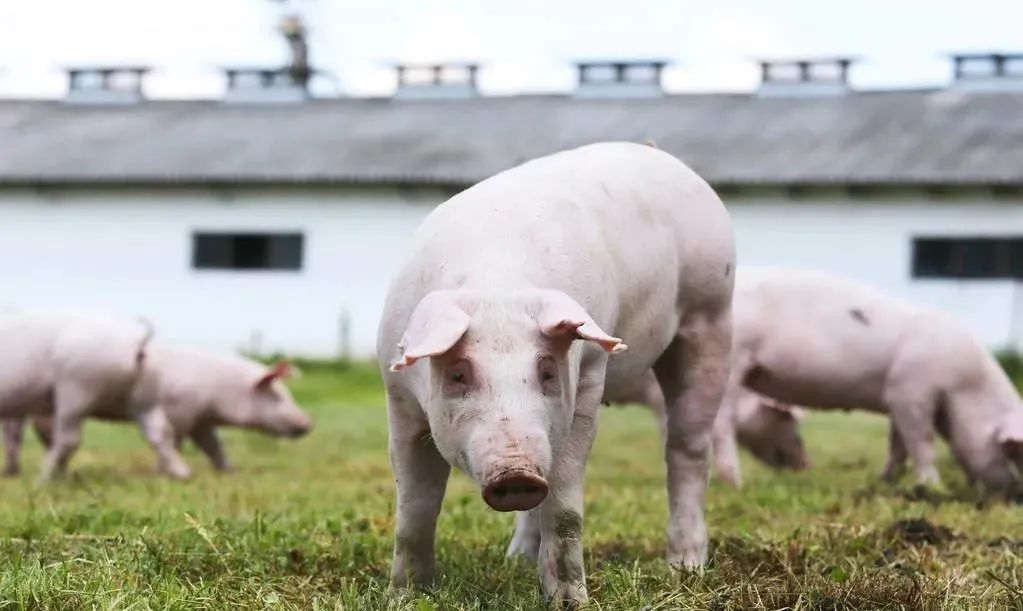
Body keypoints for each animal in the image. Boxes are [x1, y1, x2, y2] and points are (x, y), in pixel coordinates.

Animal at [0, 311, 190, 478]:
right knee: (161, 431)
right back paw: (182, 474)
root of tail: (138, 342)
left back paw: (42, 479)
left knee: (69, 438)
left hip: (76, 387)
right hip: (146, 396)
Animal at [1, 347, 310, 476]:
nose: (309, 422)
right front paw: (163, 471)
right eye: (279, 397)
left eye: (287, 395)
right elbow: (175, 440)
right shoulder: (180, 410)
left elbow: (214, 445)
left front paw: (230, 471)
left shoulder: (200, 420)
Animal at [378, 143, 736, 605]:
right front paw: (405, 596)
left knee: (687, 448)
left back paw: (685, 568)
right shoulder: (399, 396)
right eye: (458, 375)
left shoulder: (587, 379)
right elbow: (414, 507)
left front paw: (570, 603)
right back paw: (516, 560)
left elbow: (564, 508)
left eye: (547, 371)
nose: (518, 475)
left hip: (710, 314)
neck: (498, 284)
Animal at [720, 266, 1023, 491]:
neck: (965, 388)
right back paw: (735, 484)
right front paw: (933, 488)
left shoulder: (897, 399)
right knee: (722, 425)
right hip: (735, 357)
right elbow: (923, 442)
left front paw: (886, 483)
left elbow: (898, 446)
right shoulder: (911, 391)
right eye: (1010, 451)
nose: (1012, 493)